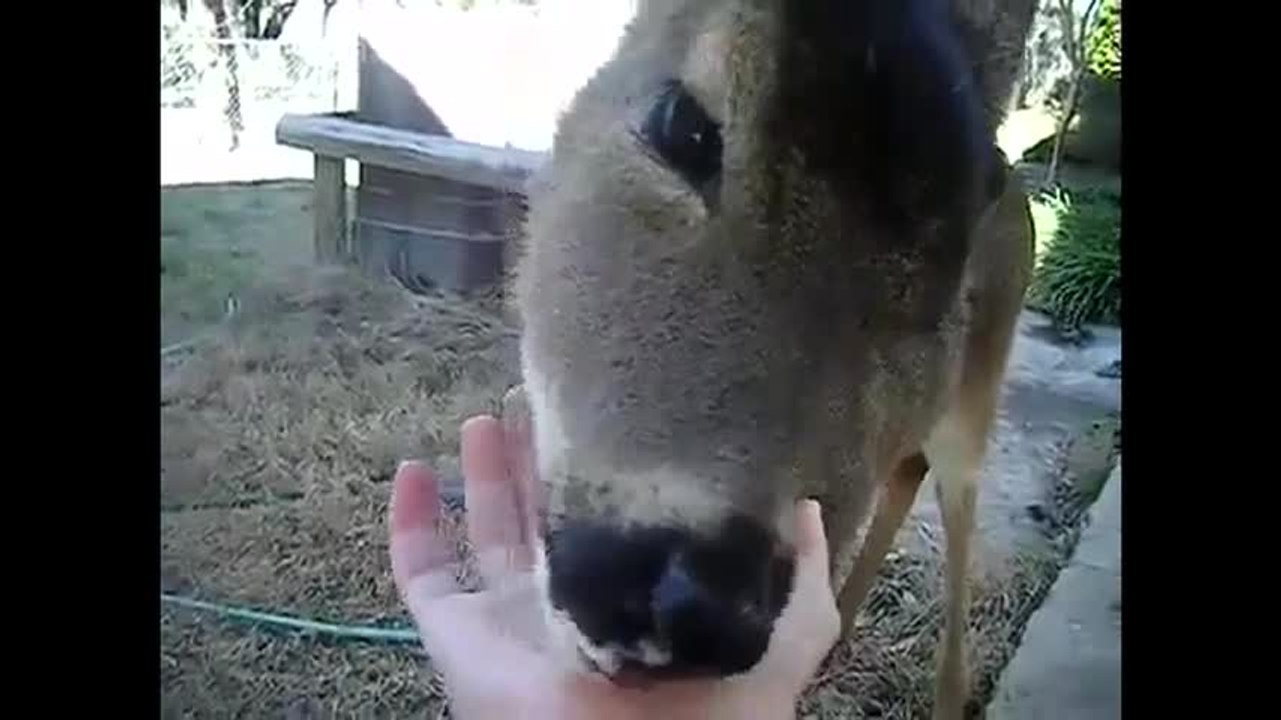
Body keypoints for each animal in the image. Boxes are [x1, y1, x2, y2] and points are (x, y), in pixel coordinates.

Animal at [505, 0, 1038, 717]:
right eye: (680, 125)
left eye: (951, 269)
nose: (697, 608)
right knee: (907, 469)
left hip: (979, 394)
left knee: (956, 495)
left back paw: (948, 693)